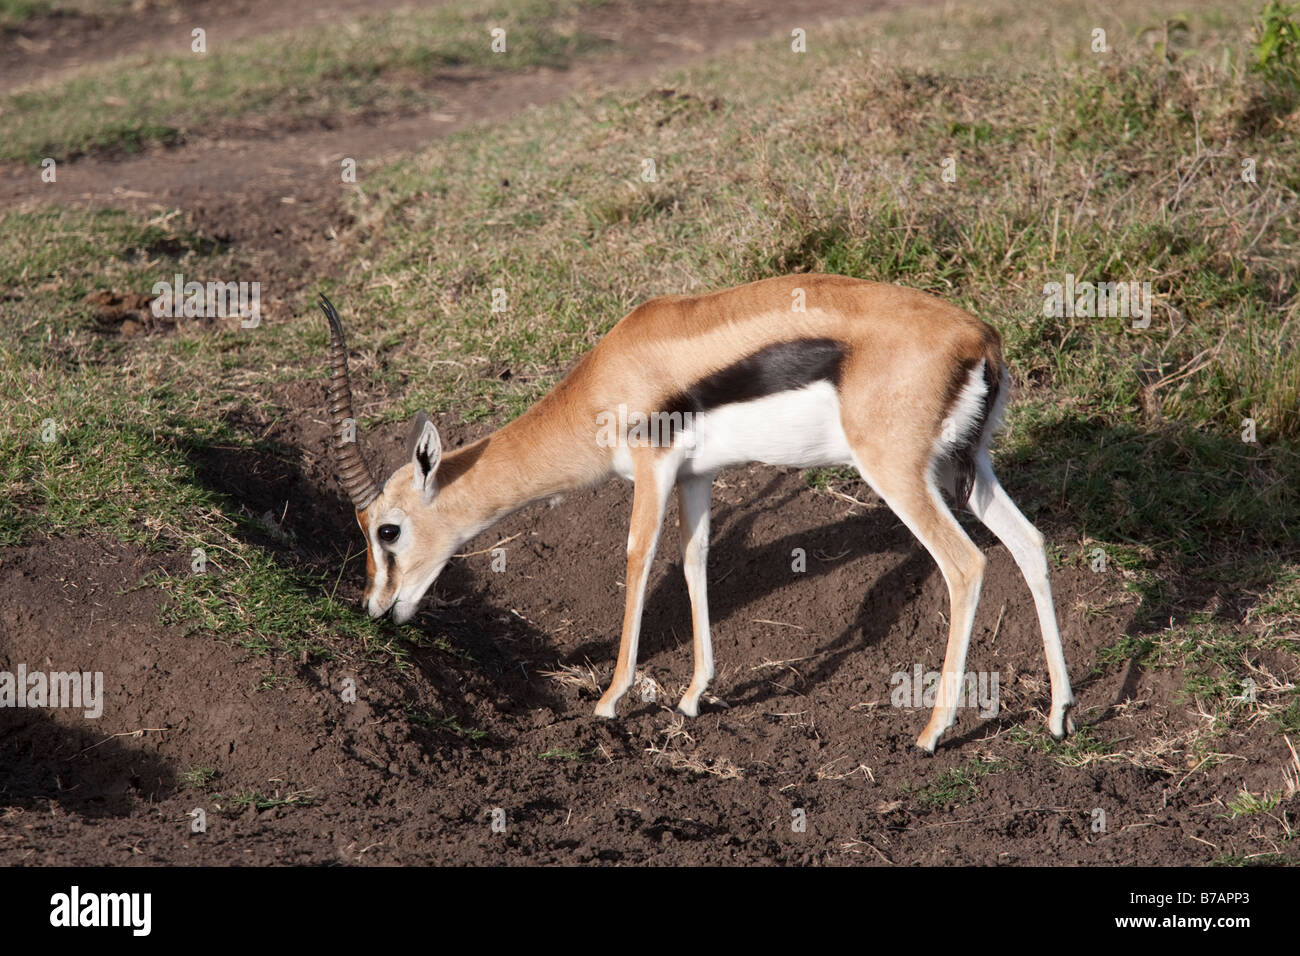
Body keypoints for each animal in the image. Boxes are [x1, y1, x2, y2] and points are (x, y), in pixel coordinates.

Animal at [319, 274, 1074, 751]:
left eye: (388, 530)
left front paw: (609, 701)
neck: (613, 371)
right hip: (967, 470)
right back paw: (1060, 714)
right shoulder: (696, 476)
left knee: (967, 563)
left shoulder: (651, 470)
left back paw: (930, 733)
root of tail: (981, 340)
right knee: (1030, 544)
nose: (374, 607)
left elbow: (638, 559)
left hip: (900, 474)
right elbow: (694, 561)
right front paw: (692, 696)